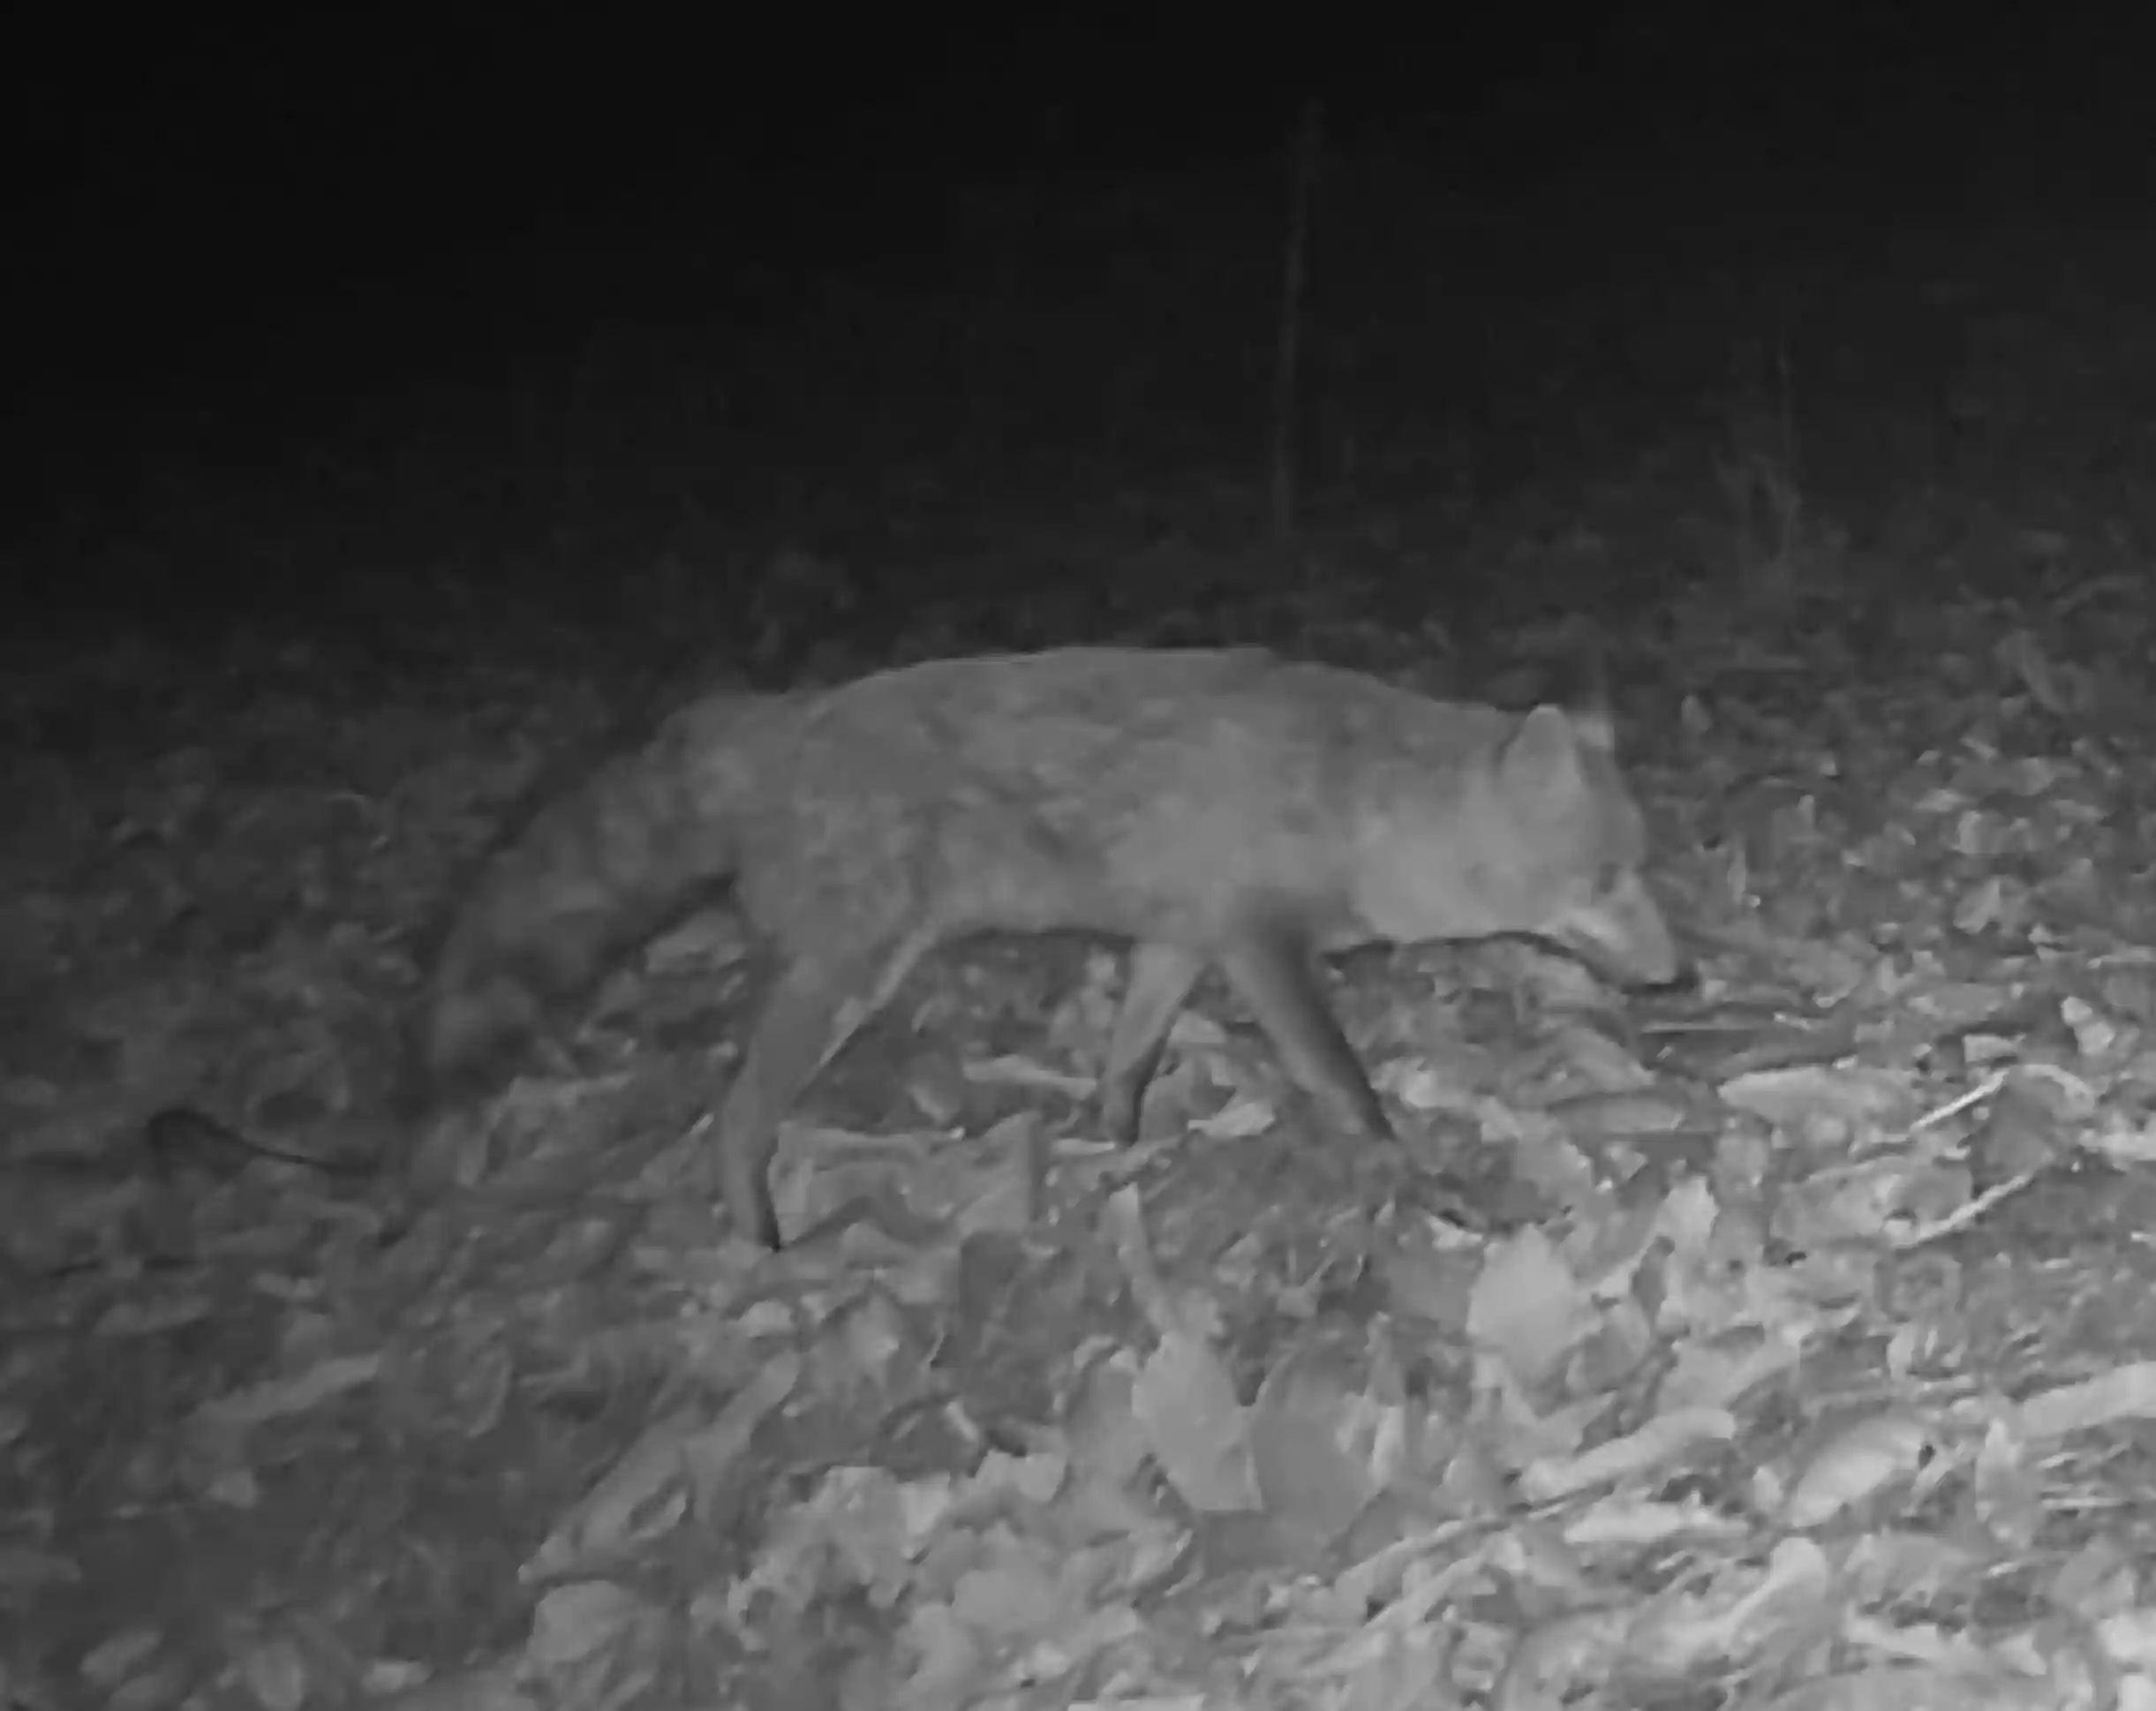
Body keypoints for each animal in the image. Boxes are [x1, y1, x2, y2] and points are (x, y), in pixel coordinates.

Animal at [418, 647, 1683, 1250]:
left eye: (1642, 869)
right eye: (1606, 881)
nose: (1685, 973)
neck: (1353, 803)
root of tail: (764, 719)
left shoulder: (1176, 939)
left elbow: (1124, 1060)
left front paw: (1111, 1149)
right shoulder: (1255, 939)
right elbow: (1338, 1075)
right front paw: (1394, 1160)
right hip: (846, 977)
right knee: (732, 1121)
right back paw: (764, 1247)